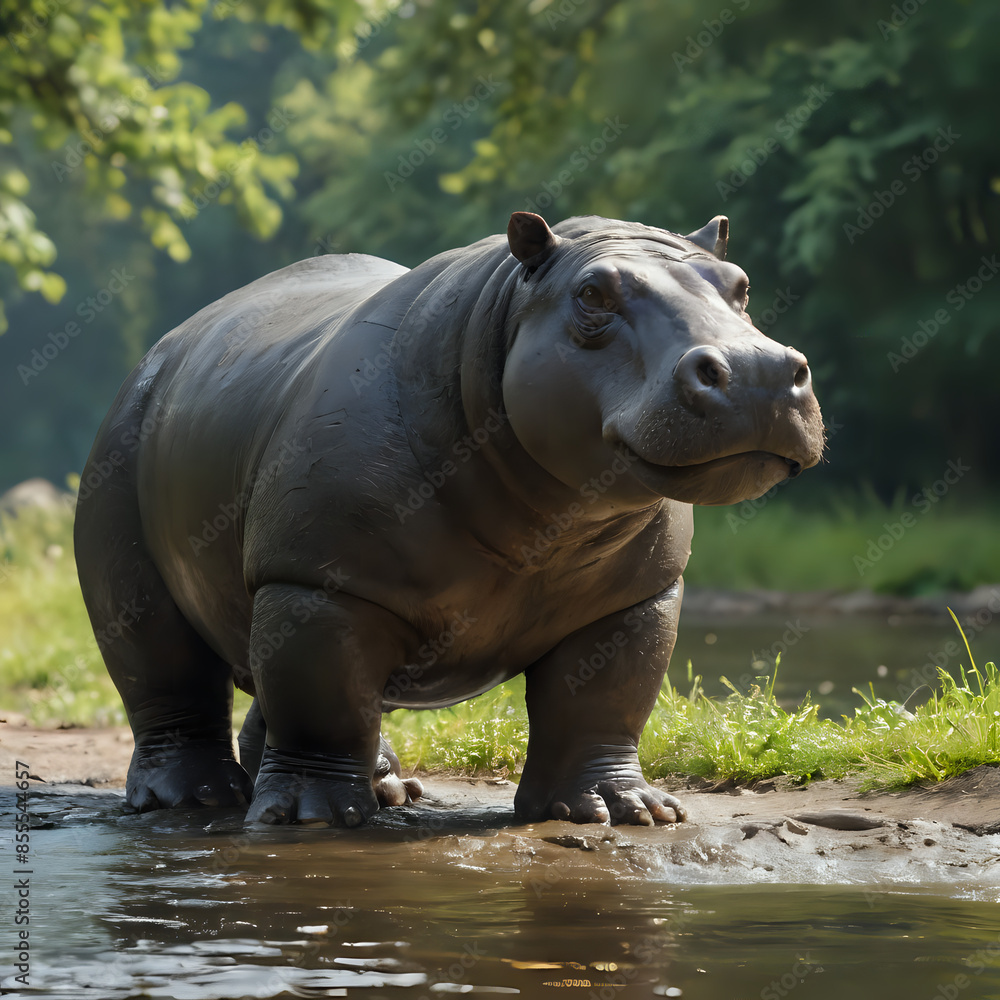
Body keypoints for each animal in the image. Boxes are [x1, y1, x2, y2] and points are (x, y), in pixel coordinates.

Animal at [74, 212, 824, 828]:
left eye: (741, 285)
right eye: (592, 296)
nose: (758, 371)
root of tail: (167, 343)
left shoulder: (635, 596)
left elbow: (605, 700)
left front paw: (622, 813)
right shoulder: (320, 580)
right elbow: (322, 702)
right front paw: (318, 821)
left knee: (282, 675)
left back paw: (384, 794)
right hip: (123, 453)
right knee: (159, 658)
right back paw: (198, 801)